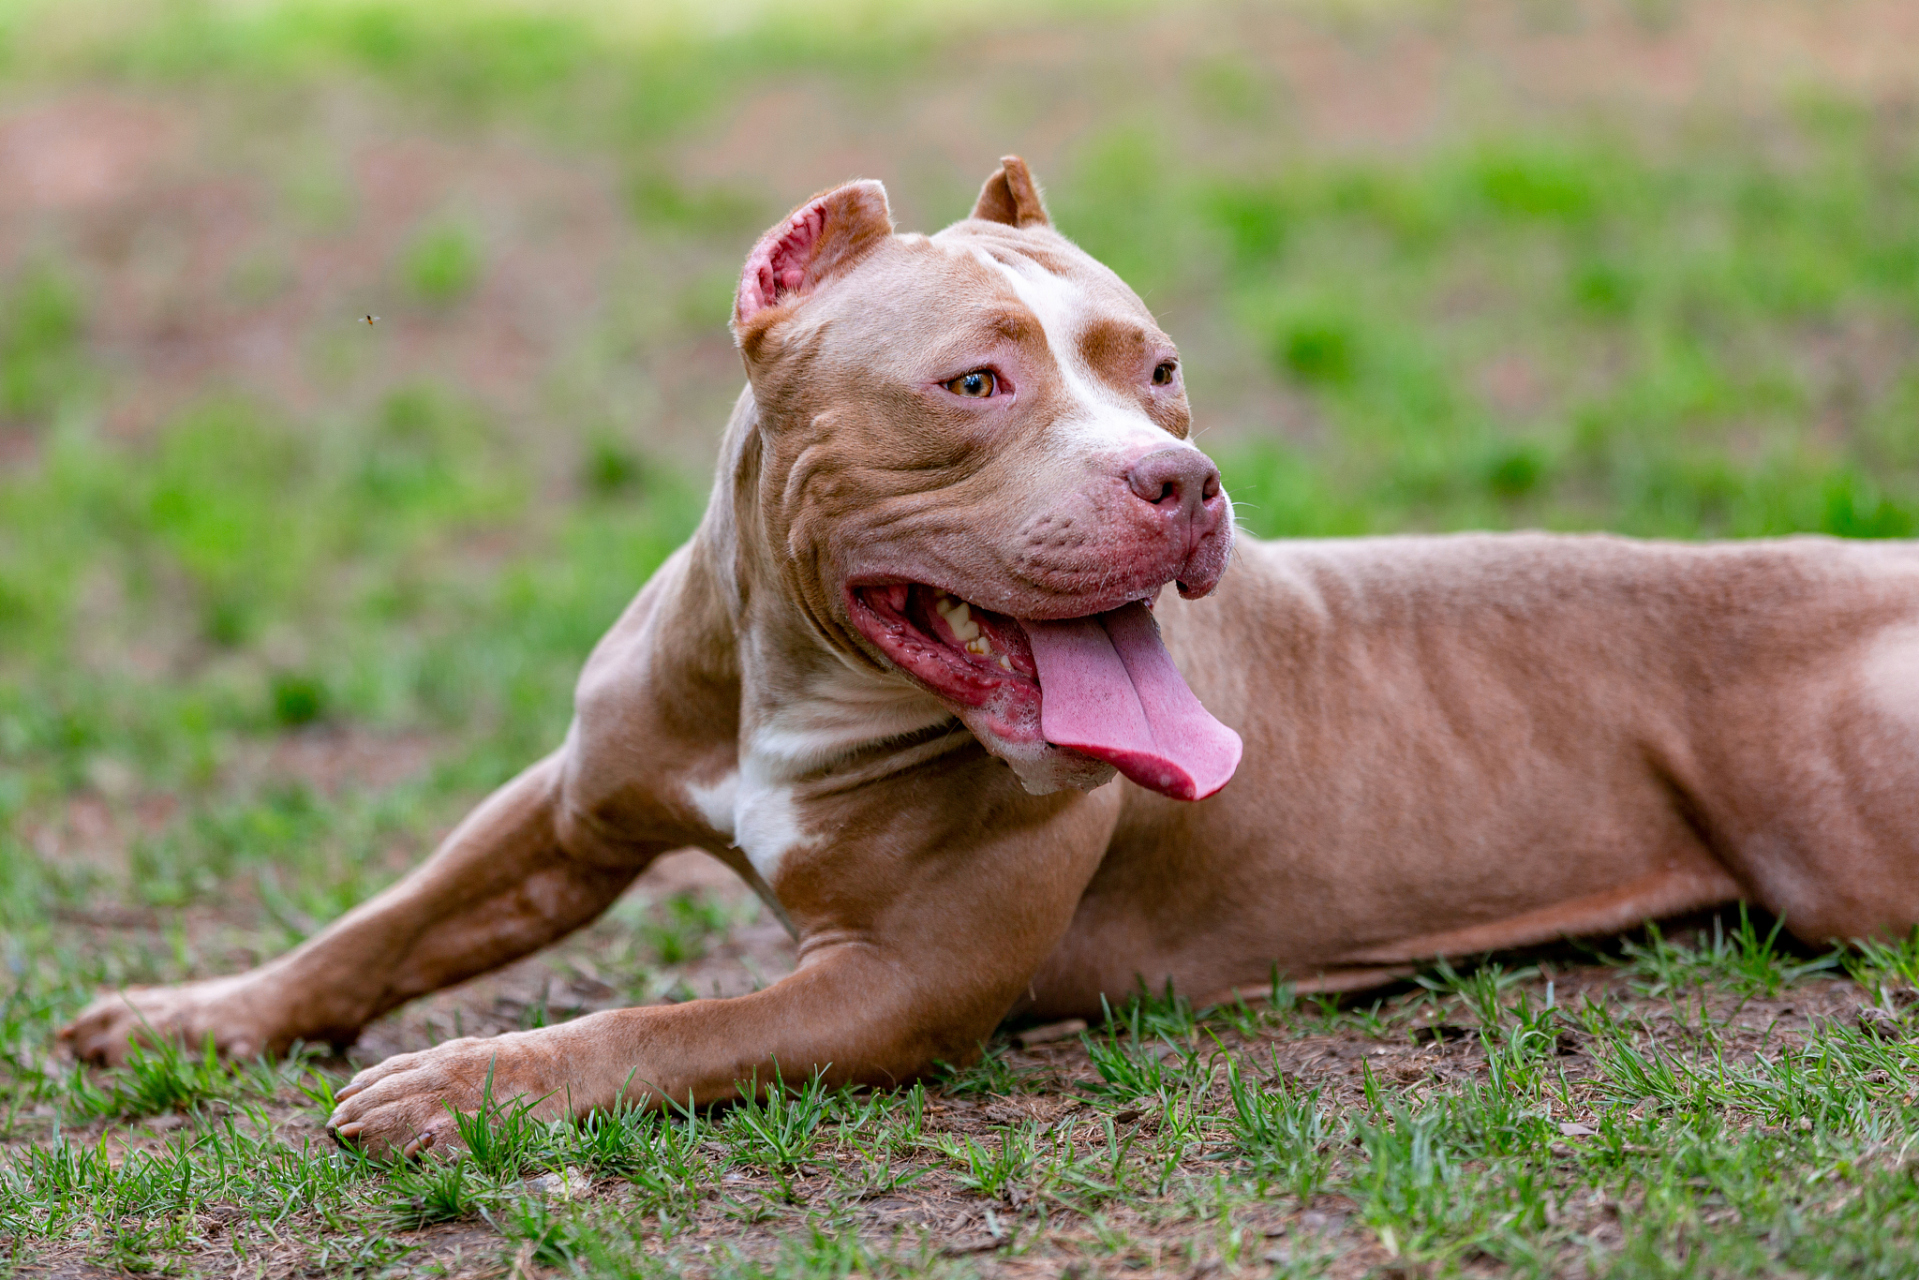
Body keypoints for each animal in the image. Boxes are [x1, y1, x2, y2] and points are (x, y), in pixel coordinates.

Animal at [59, 155, 1919, 1159]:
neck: (803, 682)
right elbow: (382, 924)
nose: (1179, 480)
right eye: (974, 383)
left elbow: (652, 1030)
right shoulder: (571, 807)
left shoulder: (891, 989)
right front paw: (195, 1017)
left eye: (1158, 370)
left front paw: (466, 1088)